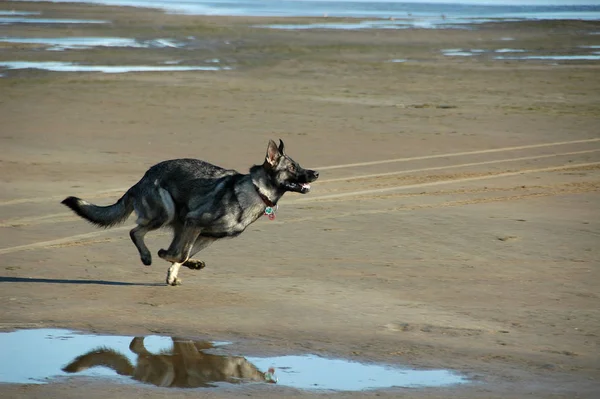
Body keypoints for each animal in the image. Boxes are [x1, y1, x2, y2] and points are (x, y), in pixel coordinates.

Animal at [62, 140, 318, 284]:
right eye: (292, 167)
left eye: (298, 165)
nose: (316, 173)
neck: (256, 190)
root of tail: (142, 179)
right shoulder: (194, 223)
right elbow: (180, 253)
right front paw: (165, 256)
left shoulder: (206, 235)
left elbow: (183, 254)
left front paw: (176, 271)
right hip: (167, 213)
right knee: (136, 232)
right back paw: (147, 255)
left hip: (177, 221)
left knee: (163, 241)